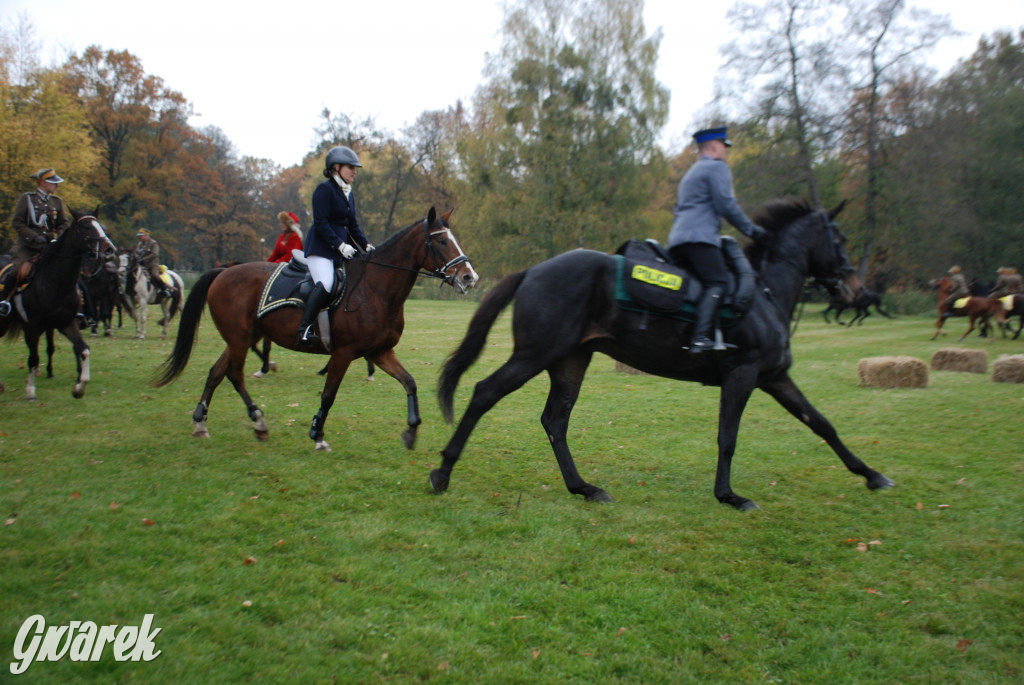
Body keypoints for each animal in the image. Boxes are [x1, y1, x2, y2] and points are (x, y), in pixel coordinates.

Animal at [0, 210, 116, 397]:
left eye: (100, 226)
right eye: (85, 227)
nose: (110, 250)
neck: (55, 282)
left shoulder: (65, 323)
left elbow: (83, 349)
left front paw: (79, 387)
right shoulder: (33, 326)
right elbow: (33, 358)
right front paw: (31, 391)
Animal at [152, 205, 479, 450]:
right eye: (440, 241)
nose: (469, 277)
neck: (375, 288)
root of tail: (223, 272)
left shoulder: (380, 351)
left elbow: (409, 382)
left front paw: (411, 431)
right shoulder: (344, 353)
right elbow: (328, 395)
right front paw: (318, 434)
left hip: (241, 338)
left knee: (217, 373)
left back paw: (201, 422)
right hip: (239, 339)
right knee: (234, 374)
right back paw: (258, 419)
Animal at [428, 196, 892, 507]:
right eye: (839, 237)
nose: (854, 289)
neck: (762, 292)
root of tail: (533, 270)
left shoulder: (774, 377)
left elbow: (822, 424)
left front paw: (870, 474)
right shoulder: (742, 375)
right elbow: (728, 437)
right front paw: (728, 495)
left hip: (569, 360)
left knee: (555, 421)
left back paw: (583, 487)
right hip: (534, 356)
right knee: (485, 394)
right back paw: (444, 470)